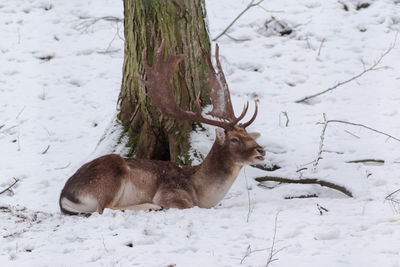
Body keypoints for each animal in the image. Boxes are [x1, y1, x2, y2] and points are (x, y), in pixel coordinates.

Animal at [59, 41, 264, 216]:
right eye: (234, 139)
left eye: (249, 135)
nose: (261, 151)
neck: (200, 191)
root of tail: (64, 195)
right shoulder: (170, 193)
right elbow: (188, 205)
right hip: (111, 174)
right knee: (104, 208)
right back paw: (151, 206)